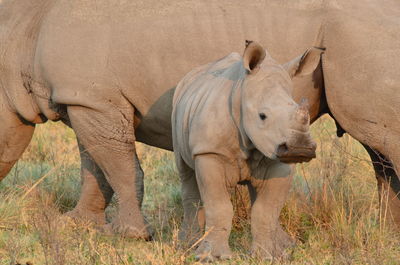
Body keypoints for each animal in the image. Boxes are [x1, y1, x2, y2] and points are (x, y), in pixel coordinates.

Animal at [0, 0, 400, 237]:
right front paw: (76, 226)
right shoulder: (85, 100)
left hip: (359, 34)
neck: (20, 30)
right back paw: (384, 233)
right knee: (378, 150)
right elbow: (95, 168)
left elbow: (119, 168)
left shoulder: (91, 99)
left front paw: (130, 235)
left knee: (380, 141)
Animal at [172, 41, 322, 260]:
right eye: (262, 116)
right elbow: (219, 206)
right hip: (177, 111)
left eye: (307, 116)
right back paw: (187, 246)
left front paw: (267, 256)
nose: (299, 148)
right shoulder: (209, 151)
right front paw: (213, 256)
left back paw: (282, 249)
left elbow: (266, 210)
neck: (241, 94)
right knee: (186, 174)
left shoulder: (278, 157)